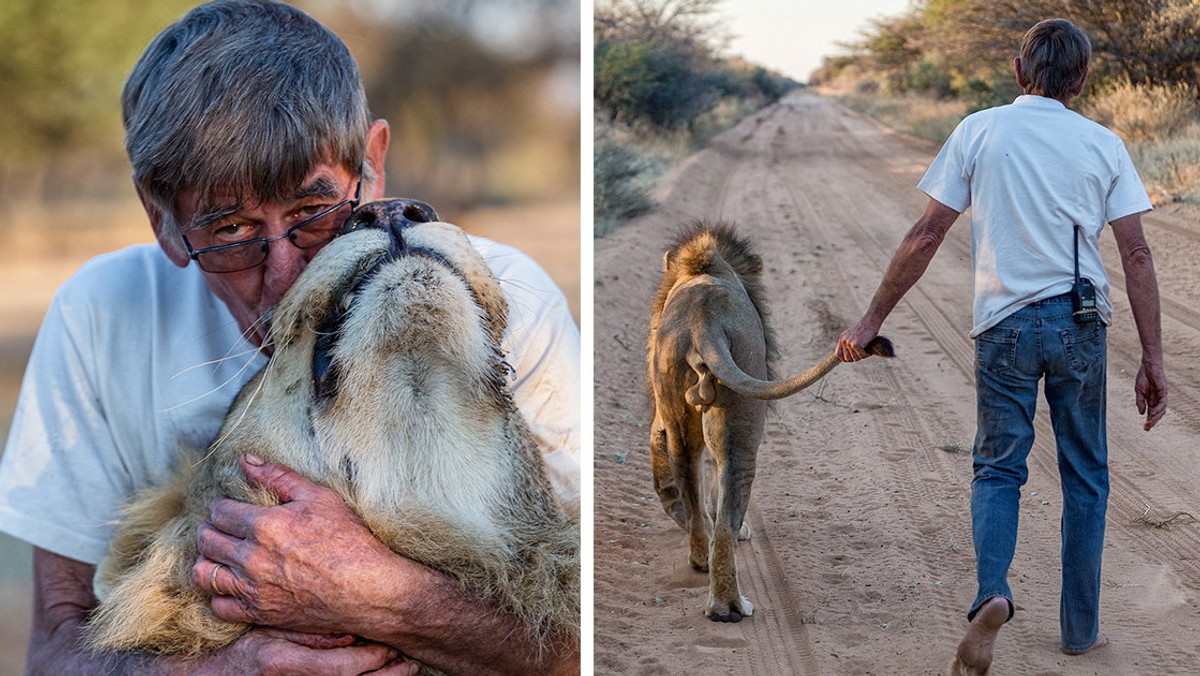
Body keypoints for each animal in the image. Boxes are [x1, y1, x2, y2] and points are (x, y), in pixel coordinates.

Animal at [648, 222, 892, 624]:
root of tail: (703, 323)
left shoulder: (662, 412)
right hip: (743, 416)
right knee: (728, 507)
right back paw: (728, 605)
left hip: (678, 405)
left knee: (689, 477)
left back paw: (700, 556)